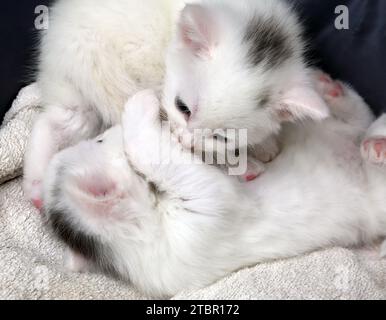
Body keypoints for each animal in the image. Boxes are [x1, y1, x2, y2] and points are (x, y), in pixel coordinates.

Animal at [24, 0, 328, 209]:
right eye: (183, 108)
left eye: (222, 137)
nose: (185, 141)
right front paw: (252, 155)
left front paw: (264, 143)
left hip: (74, 88)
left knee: (57, 121)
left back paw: (37, 184)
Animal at [43, 72, 386, 298]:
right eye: (100, 140)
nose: (108, 131)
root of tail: (356, 150)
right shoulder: (202, 215)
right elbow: (149, 148)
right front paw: (140, 105)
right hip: (374, 194)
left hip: (338, 130)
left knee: (359, 115)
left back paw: (333, 92)